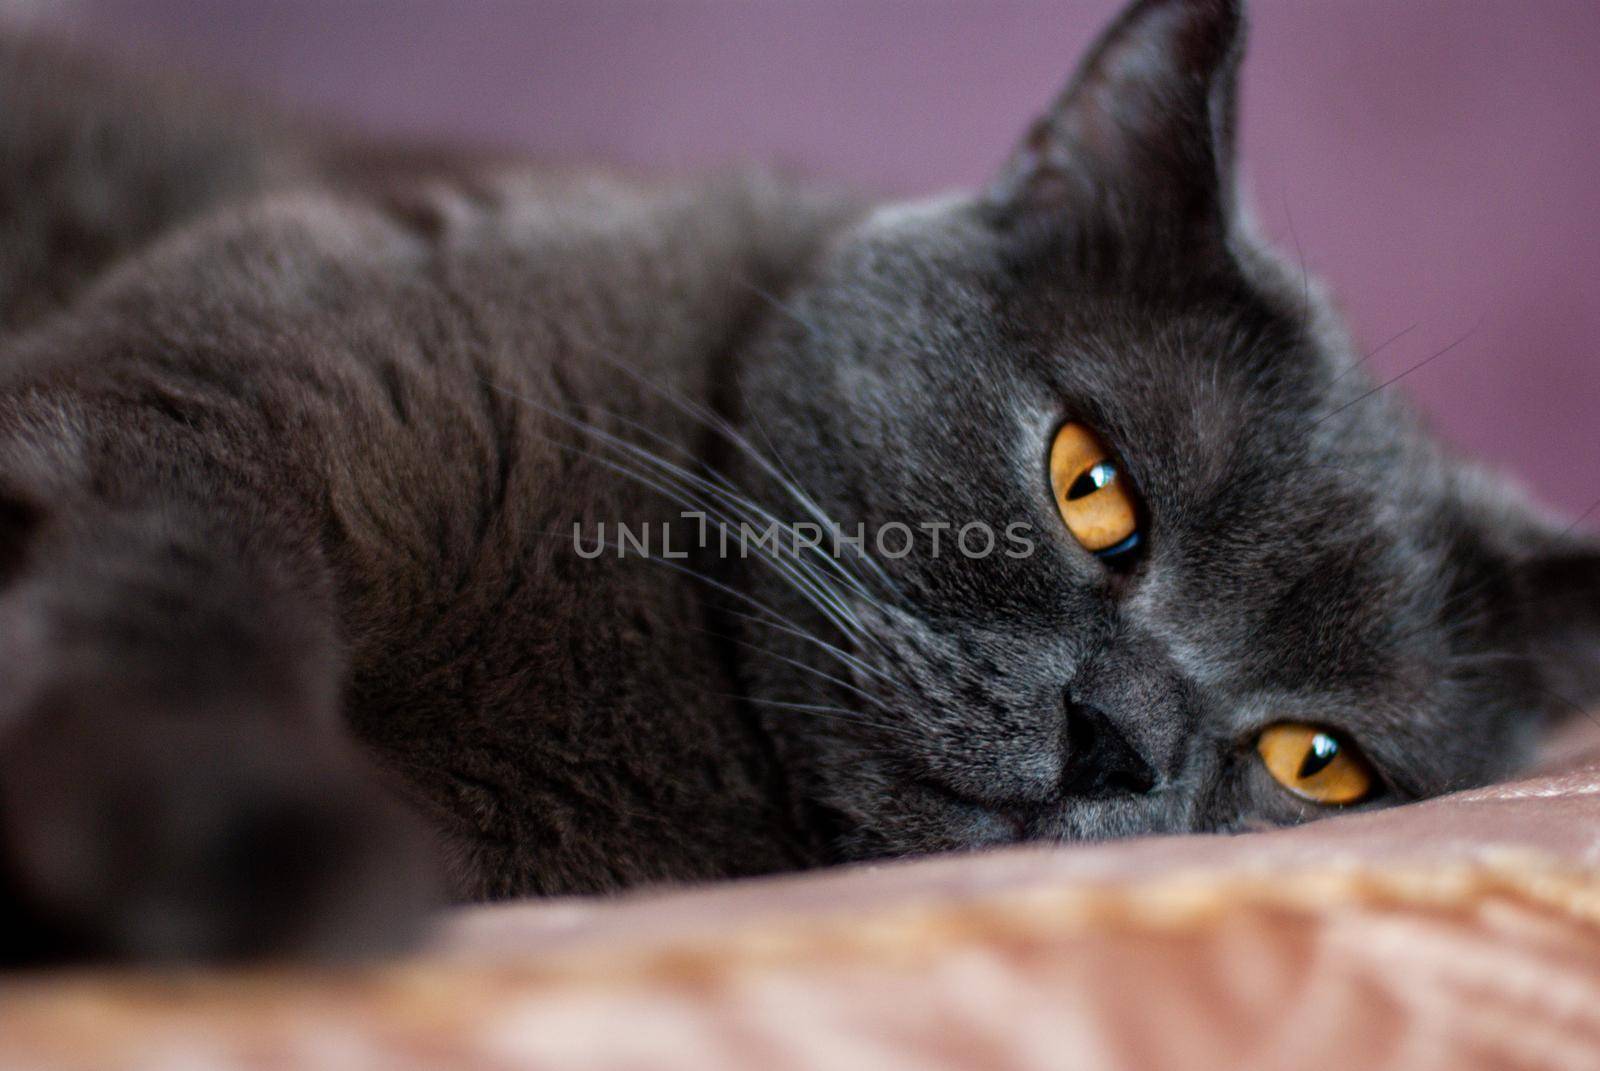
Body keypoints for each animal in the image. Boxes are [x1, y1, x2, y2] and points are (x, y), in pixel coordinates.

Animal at [3, 0, 1600, 960]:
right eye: (1092, 484)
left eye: (1316, 762)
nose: (1117, 743)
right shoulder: (241, 373)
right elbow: (194, 582)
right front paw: (249, 836)